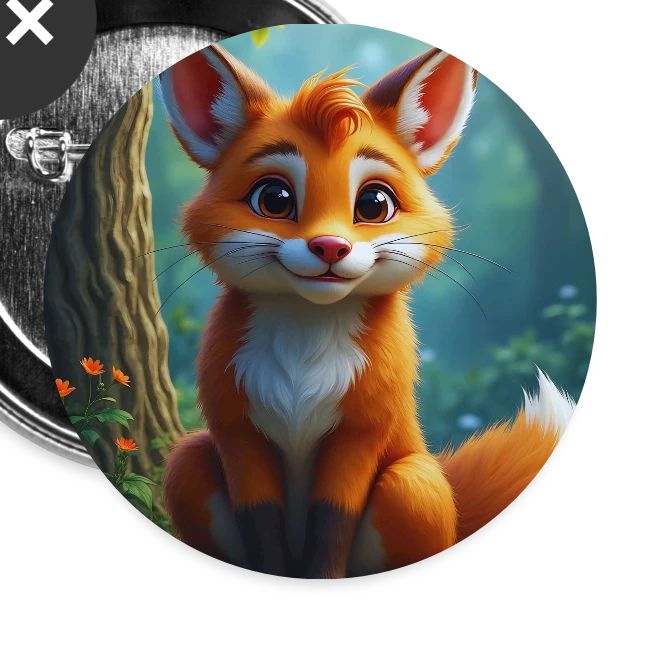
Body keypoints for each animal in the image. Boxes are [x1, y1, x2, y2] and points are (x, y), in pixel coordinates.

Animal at [157, 44, 575, 578]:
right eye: (274, 199)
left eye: (374, 204)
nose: (330, 246)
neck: (304, 357)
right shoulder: (237, 431)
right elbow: (264, 526)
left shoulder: (361, 431)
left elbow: (332, 524)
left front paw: (321, 579)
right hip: (188, 462)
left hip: (412, 484)